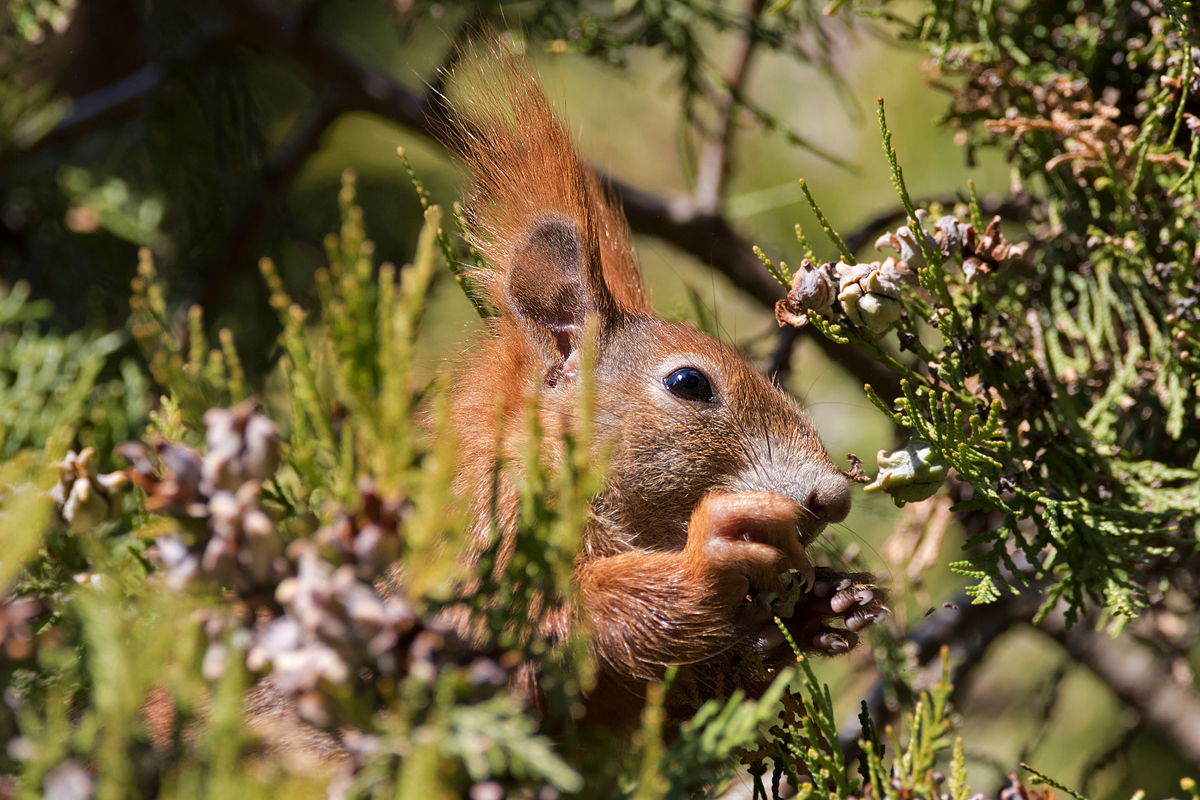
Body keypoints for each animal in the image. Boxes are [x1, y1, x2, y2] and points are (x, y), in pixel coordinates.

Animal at [446, 59, 888, 729]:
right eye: (689, 384)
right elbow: (541, 635)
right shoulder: (479, 554)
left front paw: (823, 606)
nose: (834, 497)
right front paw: (710, 558)